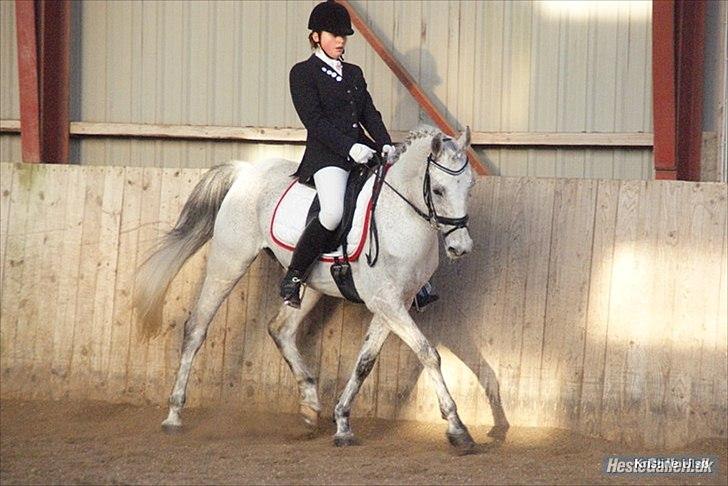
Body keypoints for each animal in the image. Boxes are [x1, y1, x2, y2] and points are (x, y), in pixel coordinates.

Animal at [133, 125, 484, 450]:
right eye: (438, 190)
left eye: (470, 186)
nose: (461, 248)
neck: (399, 215)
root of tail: (246, 171)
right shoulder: (385, 301)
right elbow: (428, 354)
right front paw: (457, 428)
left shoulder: (397, 302)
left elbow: (365, 362)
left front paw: (342, 423)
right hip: (229, 262)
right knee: (196, 328)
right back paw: (173, 416)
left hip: (310, 282)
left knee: (280, 329)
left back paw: (310, 407)